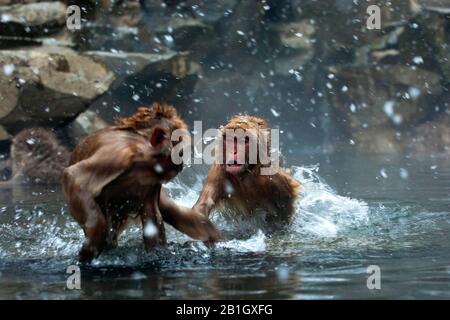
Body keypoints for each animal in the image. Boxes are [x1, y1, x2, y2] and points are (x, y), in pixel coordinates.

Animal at [62, 102, 221, 262]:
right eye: (180, 153)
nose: (181, 166)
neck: (141, 152)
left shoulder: (153, 177)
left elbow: (152, 214)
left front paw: (159, 254)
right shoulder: (117, 155)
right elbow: (75, 178)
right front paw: (93, 244)